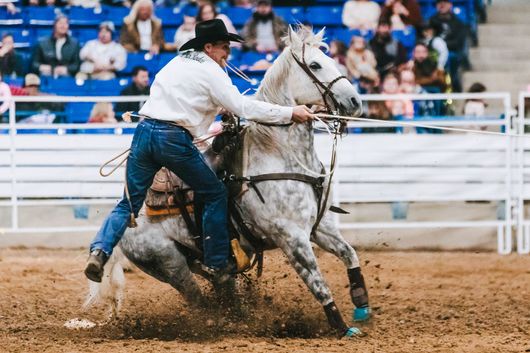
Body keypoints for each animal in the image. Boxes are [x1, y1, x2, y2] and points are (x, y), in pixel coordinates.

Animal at [85, 26, 368, 336]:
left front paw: (362, 305)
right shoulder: (292, 238)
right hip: (170, 264)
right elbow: (318, 284)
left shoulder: (321, 228)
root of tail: (126, 225)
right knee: (198, 299)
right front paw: (342, 328)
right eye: (315, 65)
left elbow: (350, 254)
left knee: (223, 288)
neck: (277, 153)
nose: (354, 102)